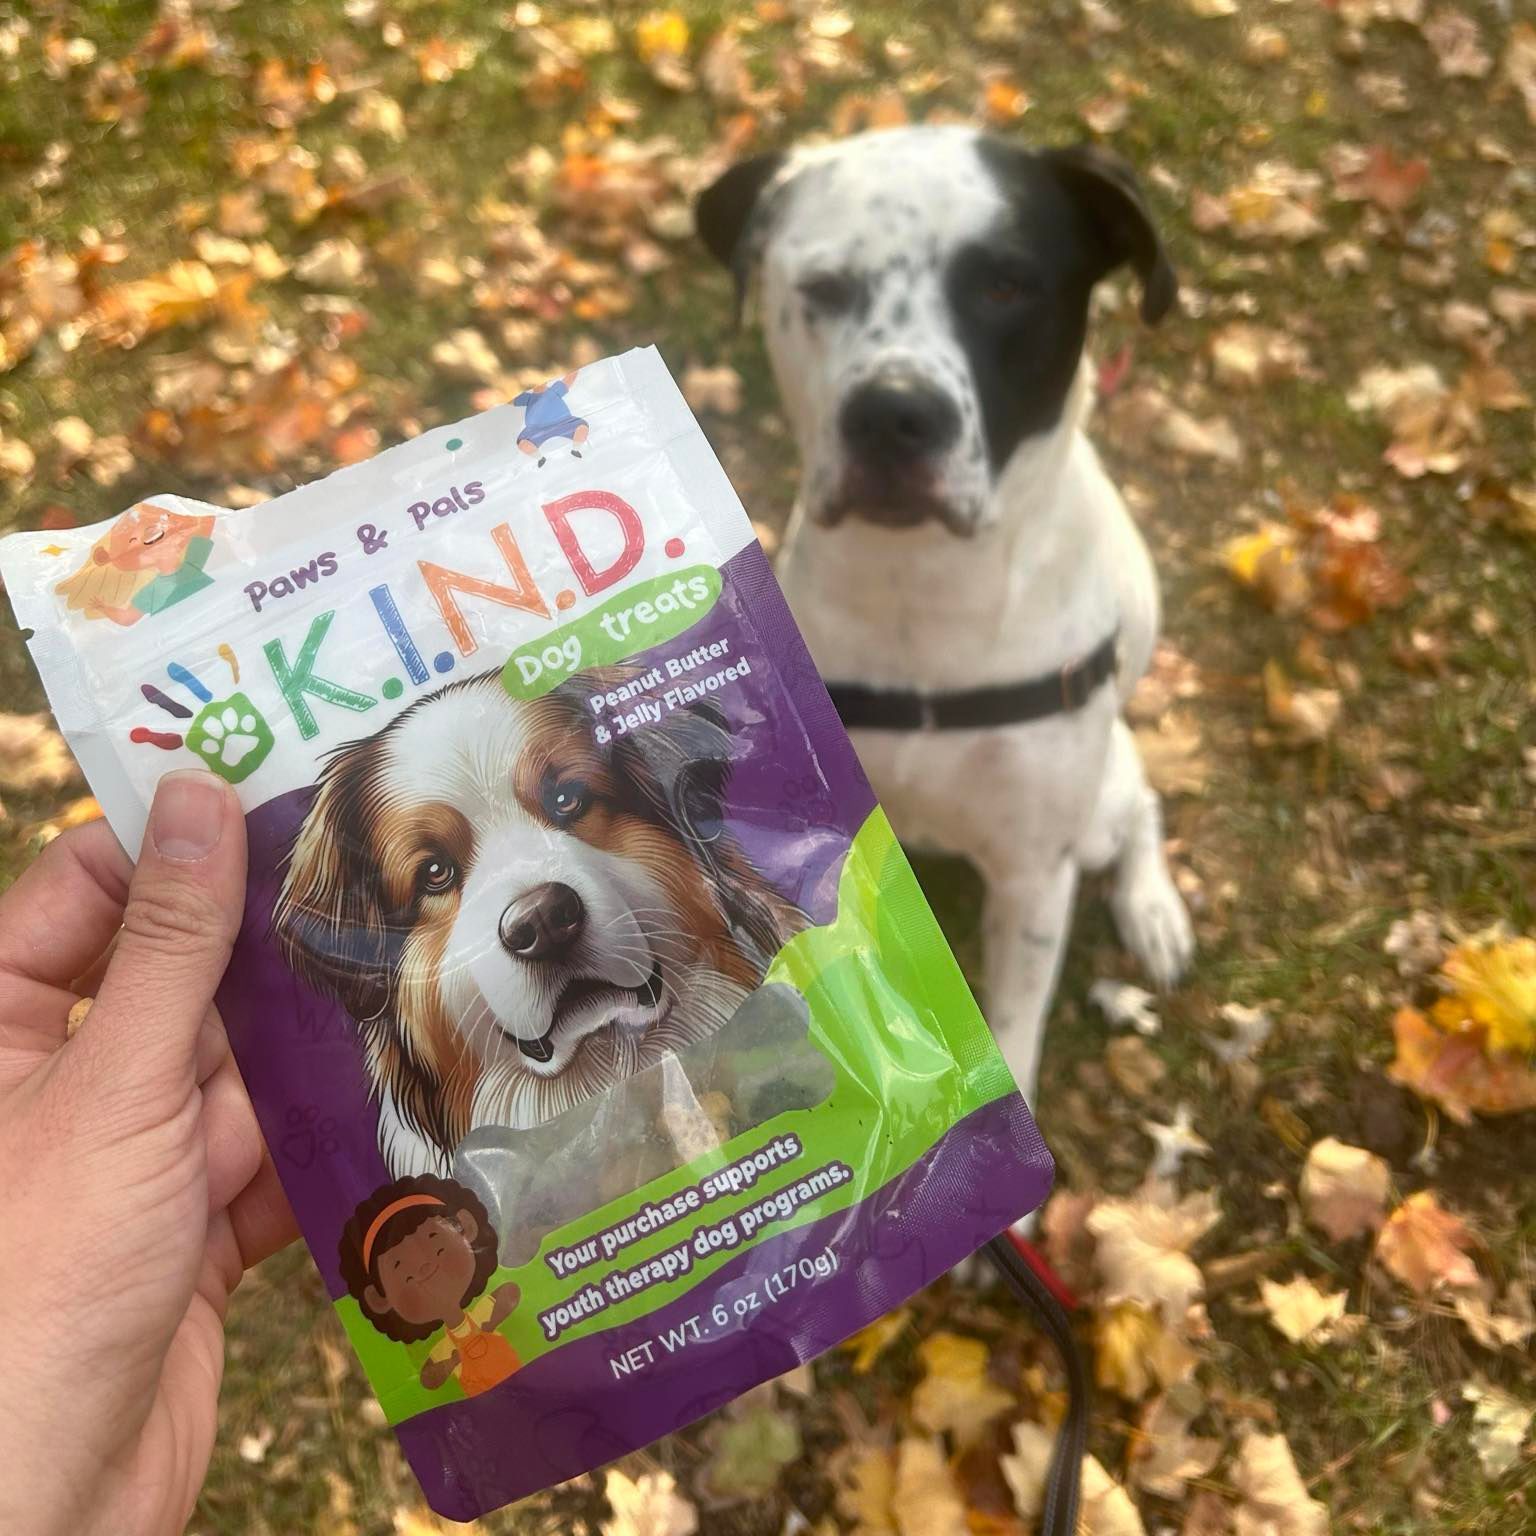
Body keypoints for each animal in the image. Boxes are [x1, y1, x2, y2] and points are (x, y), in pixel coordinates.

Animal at [703, 122, 1191, 1105]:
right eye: (824, 288)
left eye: (1006, 285)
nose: (893, 415)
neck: (922, 598)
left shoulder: (1035, 875)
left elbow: (1014, 1026)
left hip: (1097, 806)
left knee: (1143, 807)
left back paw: (1153, 907)